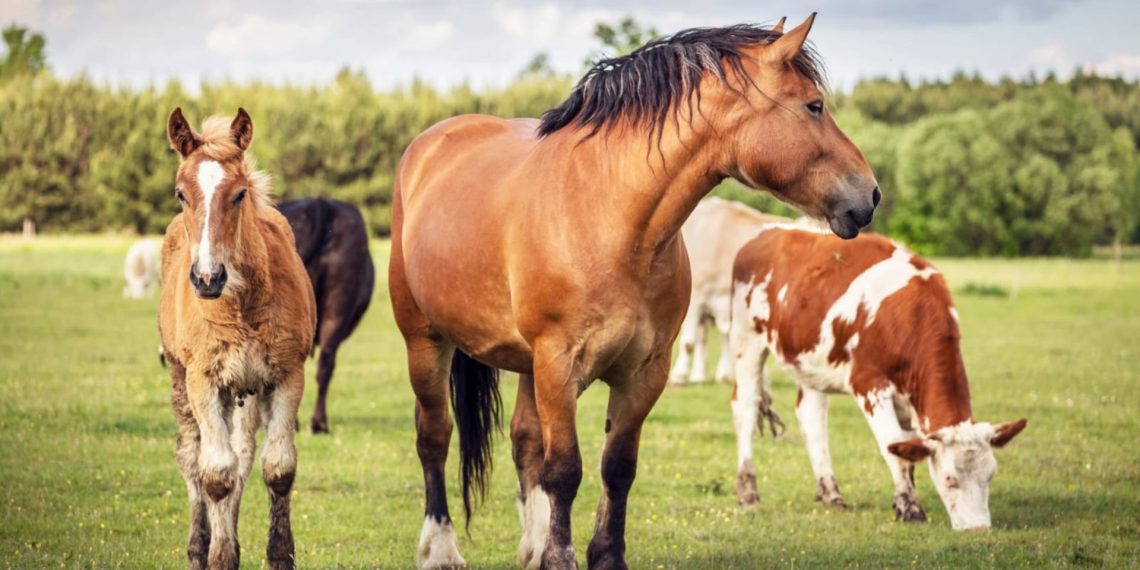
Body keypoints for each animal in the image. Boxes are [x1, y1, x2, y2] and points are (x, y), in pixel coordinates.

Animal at [159, 108, 315, 569]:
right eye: (181, 194)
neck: (240, 302)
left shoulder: (287, 374)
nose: (207, 278)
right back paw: (199, 545)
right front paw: (219, 554)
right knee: (191, 455)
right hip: (182, 380)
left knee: (243, 454)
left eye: (240, 193)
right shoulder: (203, 380)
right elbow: (214, 475)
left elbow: (277, 468)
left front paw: (279, 554)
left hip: (246, 389)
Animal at [728, 224, 1026, 529]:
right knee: (746, 407)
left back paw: (831, 493)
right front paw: (910, 508)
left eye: (990, 474)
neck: (911, 316)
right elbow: (894, 449)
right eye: (949, 480)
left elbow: (905, 452)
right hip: (746, 339)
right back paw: (748, 491)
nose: (978, 528)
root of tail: (770, 230)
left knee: (811, 417)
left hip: (809, 360)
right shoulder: (869, 384)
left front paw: (902, 500)